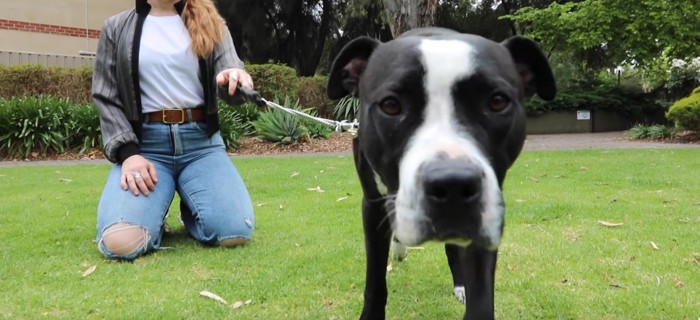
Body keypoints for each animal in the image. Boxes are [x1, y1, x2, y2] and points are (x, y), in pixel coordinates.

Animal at [326, 28, 556, 320]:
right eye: (390, 106)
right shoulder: (372, 205)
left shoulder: (487, 216)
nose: (453, 185)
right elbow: (375, 280)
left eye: (497, 102)